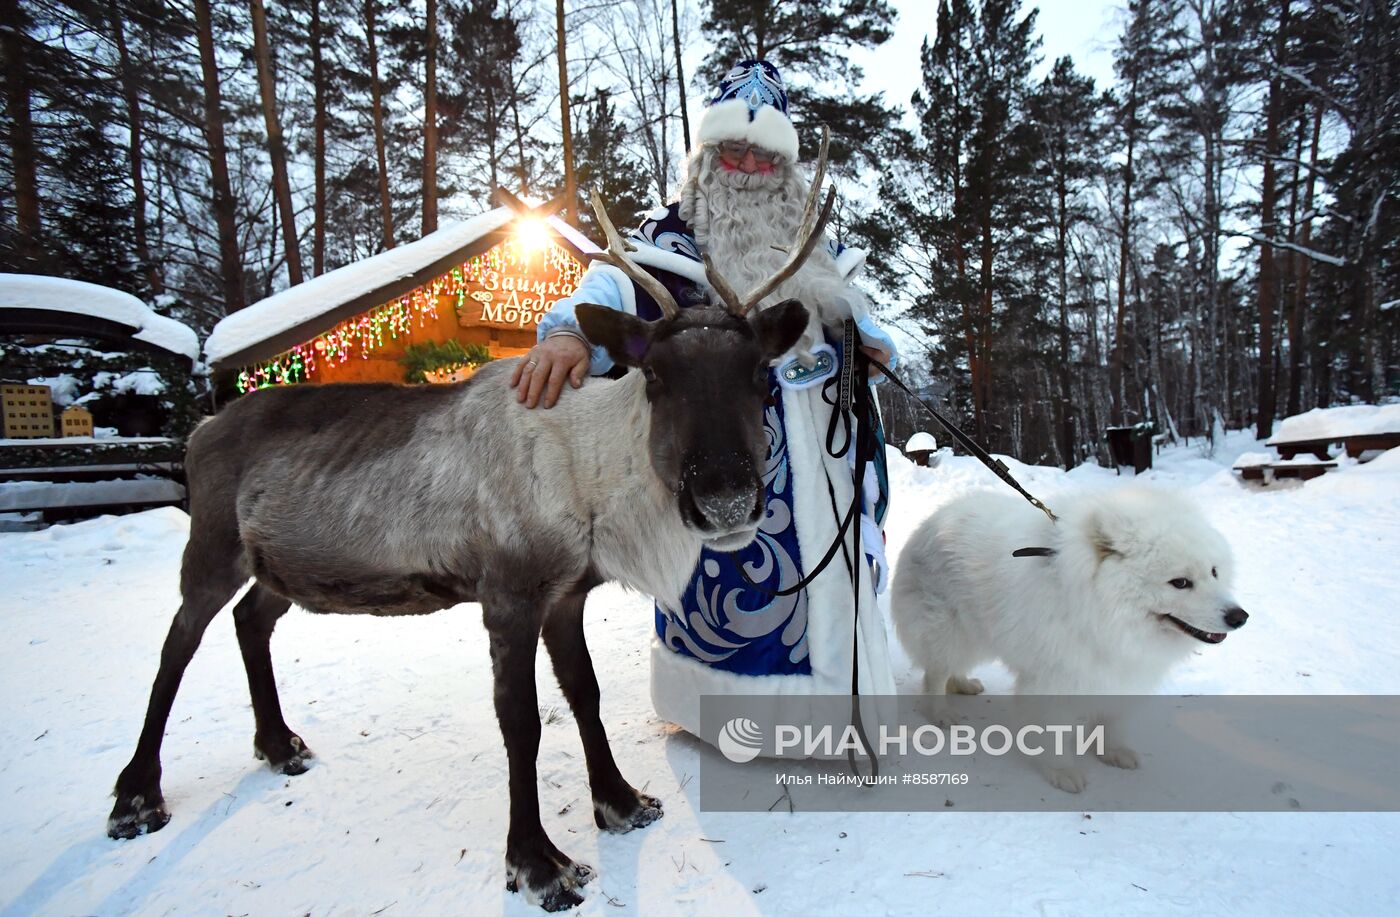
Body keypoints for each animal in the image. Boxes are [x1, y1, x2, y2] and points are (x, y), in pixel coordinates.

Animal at [884, 484, 1248, 795]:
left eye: (1214, 572)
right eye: (1180, 582)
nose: (1239, 617)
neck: (1103, 615)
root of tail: (934, 518)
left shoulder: (1117, 673)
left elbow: (1111, 720)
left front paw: (1112, 751)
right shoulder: (1053, 679)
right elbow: (1053, 730)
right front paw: (1062, 771)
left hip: (976, 632)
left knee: (951, 667)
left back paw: (963, 684)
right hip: (948, 630)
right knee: (935, 673)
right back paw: (940, 712)